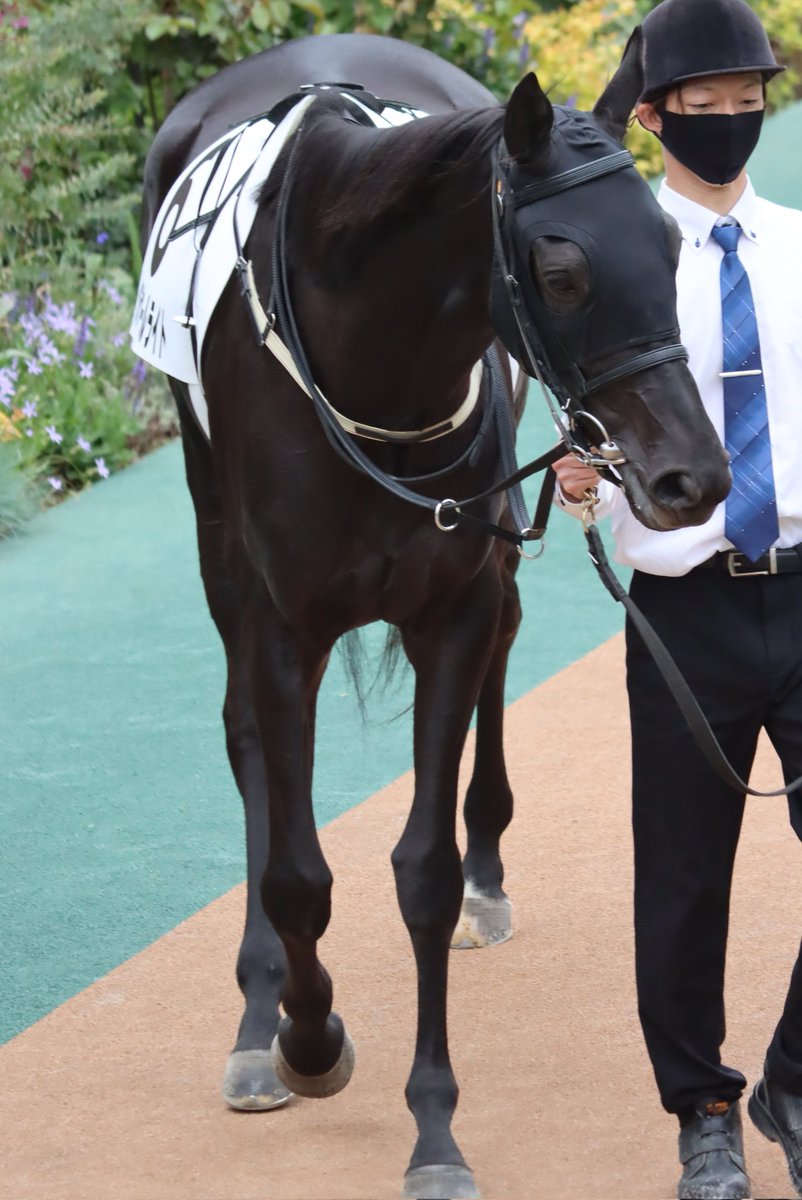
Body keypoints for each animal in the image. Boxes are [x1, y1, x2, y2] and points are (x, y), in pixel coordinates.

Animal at [135, 31, 730, 1200]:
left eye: (669, 248)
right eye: (562, 269)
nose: (692, 475)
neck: (369, 359)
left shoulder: (448, 602)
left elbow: (425, 871)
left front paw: (435, 1132)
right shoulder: (285, 626)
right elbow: (296, 870)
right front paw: (305, 1036)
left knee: (504, 642)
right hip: (214, 533)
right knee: (246, 744)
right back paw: (258, 1017)